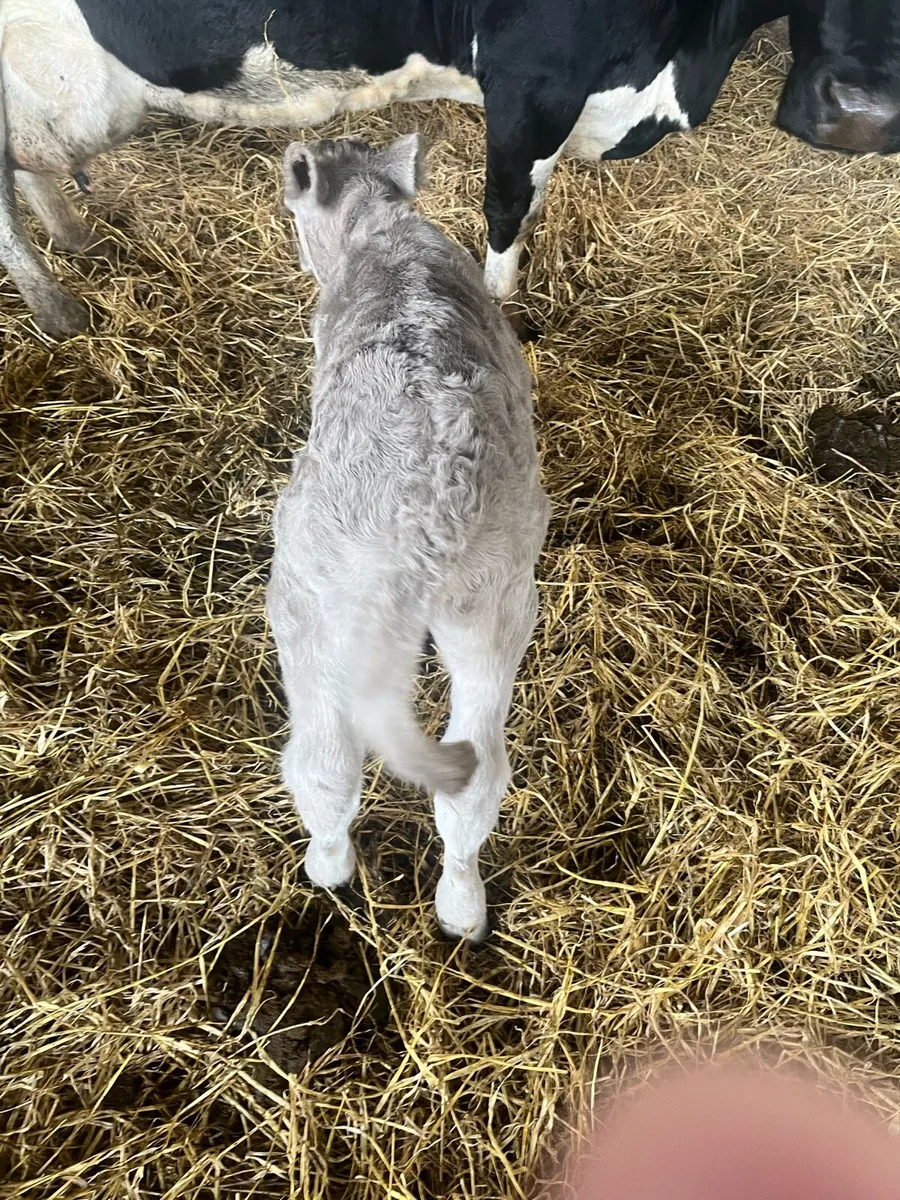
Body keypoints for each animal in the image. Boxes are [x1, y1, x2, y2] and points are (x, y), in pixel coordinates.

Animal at [1, 0, 899, 339]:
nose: (863, 118)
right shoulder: (533, 80)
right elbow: (506, 207)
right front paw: (501, 308)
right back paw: (58, 308)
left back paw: (75, 240)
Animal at [268, 134, 549, 942]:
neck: (381, 225)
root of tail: (430, 505)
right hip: (495, 603)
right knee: (475, 775)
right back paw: (461, 907)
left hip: (307, 595)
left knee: (326, 764)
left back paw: (328, 868)